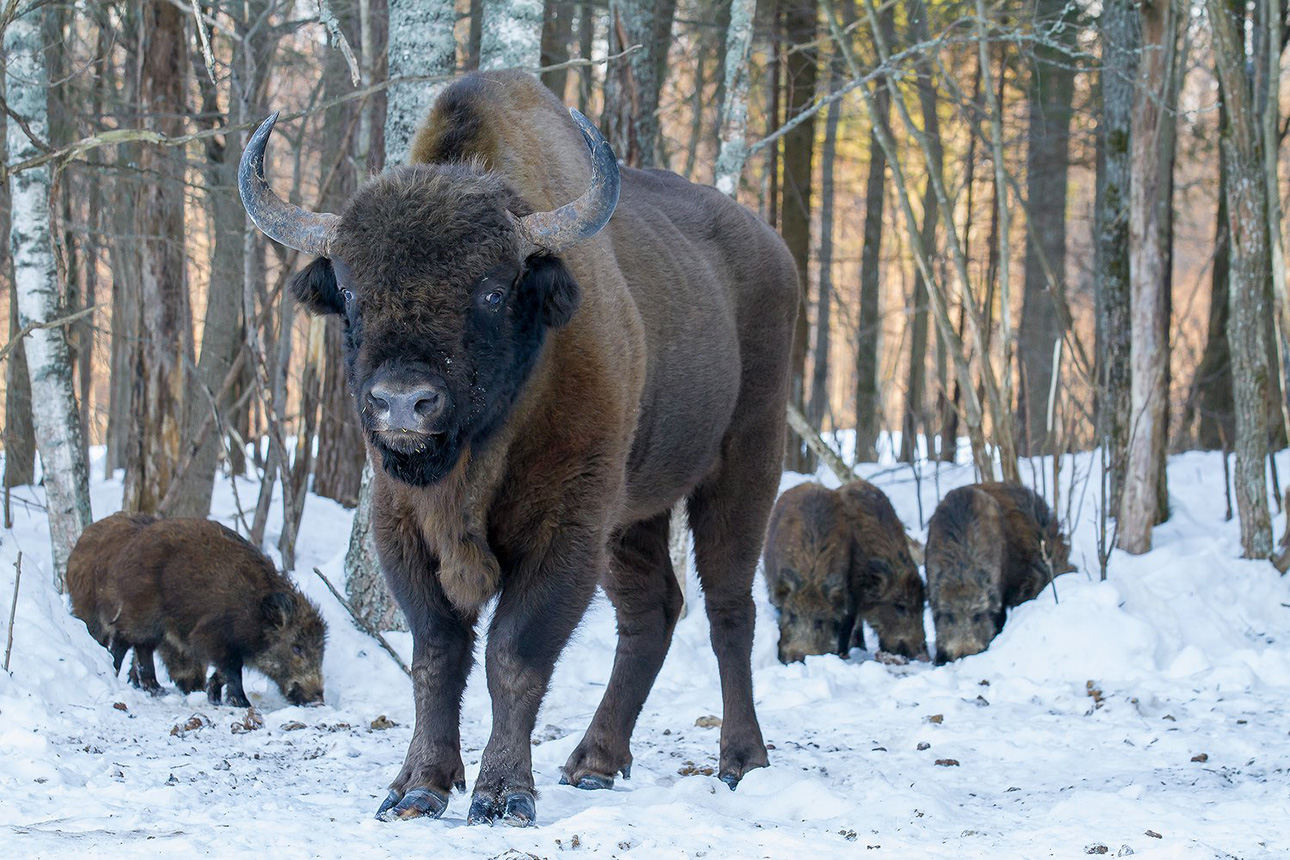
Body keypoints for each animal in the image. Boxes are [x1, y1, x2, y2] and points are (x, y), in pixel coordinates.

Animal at [64, 515, 327, 711]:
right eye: (297, 648)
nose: (318, 698)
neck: (254, 613)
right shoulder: (214, 637)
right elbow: (232, 669)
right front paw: (241, 703)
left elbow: (224, 670)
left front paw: (213, 695)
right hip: (138, 614)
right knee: (124, 641)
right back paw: (119, 674)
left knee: (142, 646)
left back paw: (154, 688)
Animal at [234, 74, 794, 825]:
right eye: (348, 290)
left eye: (493, 290)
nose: (403, 402)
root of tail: (773, 250)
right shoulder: (401, 526)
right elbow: (437, 654)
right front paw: (416, 787)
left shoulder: (566, 528)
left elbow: (514, 654)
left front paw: (502, 795)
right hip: (635, 513)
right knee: (652, 612)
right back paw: (593, 763)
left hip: (746, 462)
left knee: (730, 609)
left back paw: (741, 760)